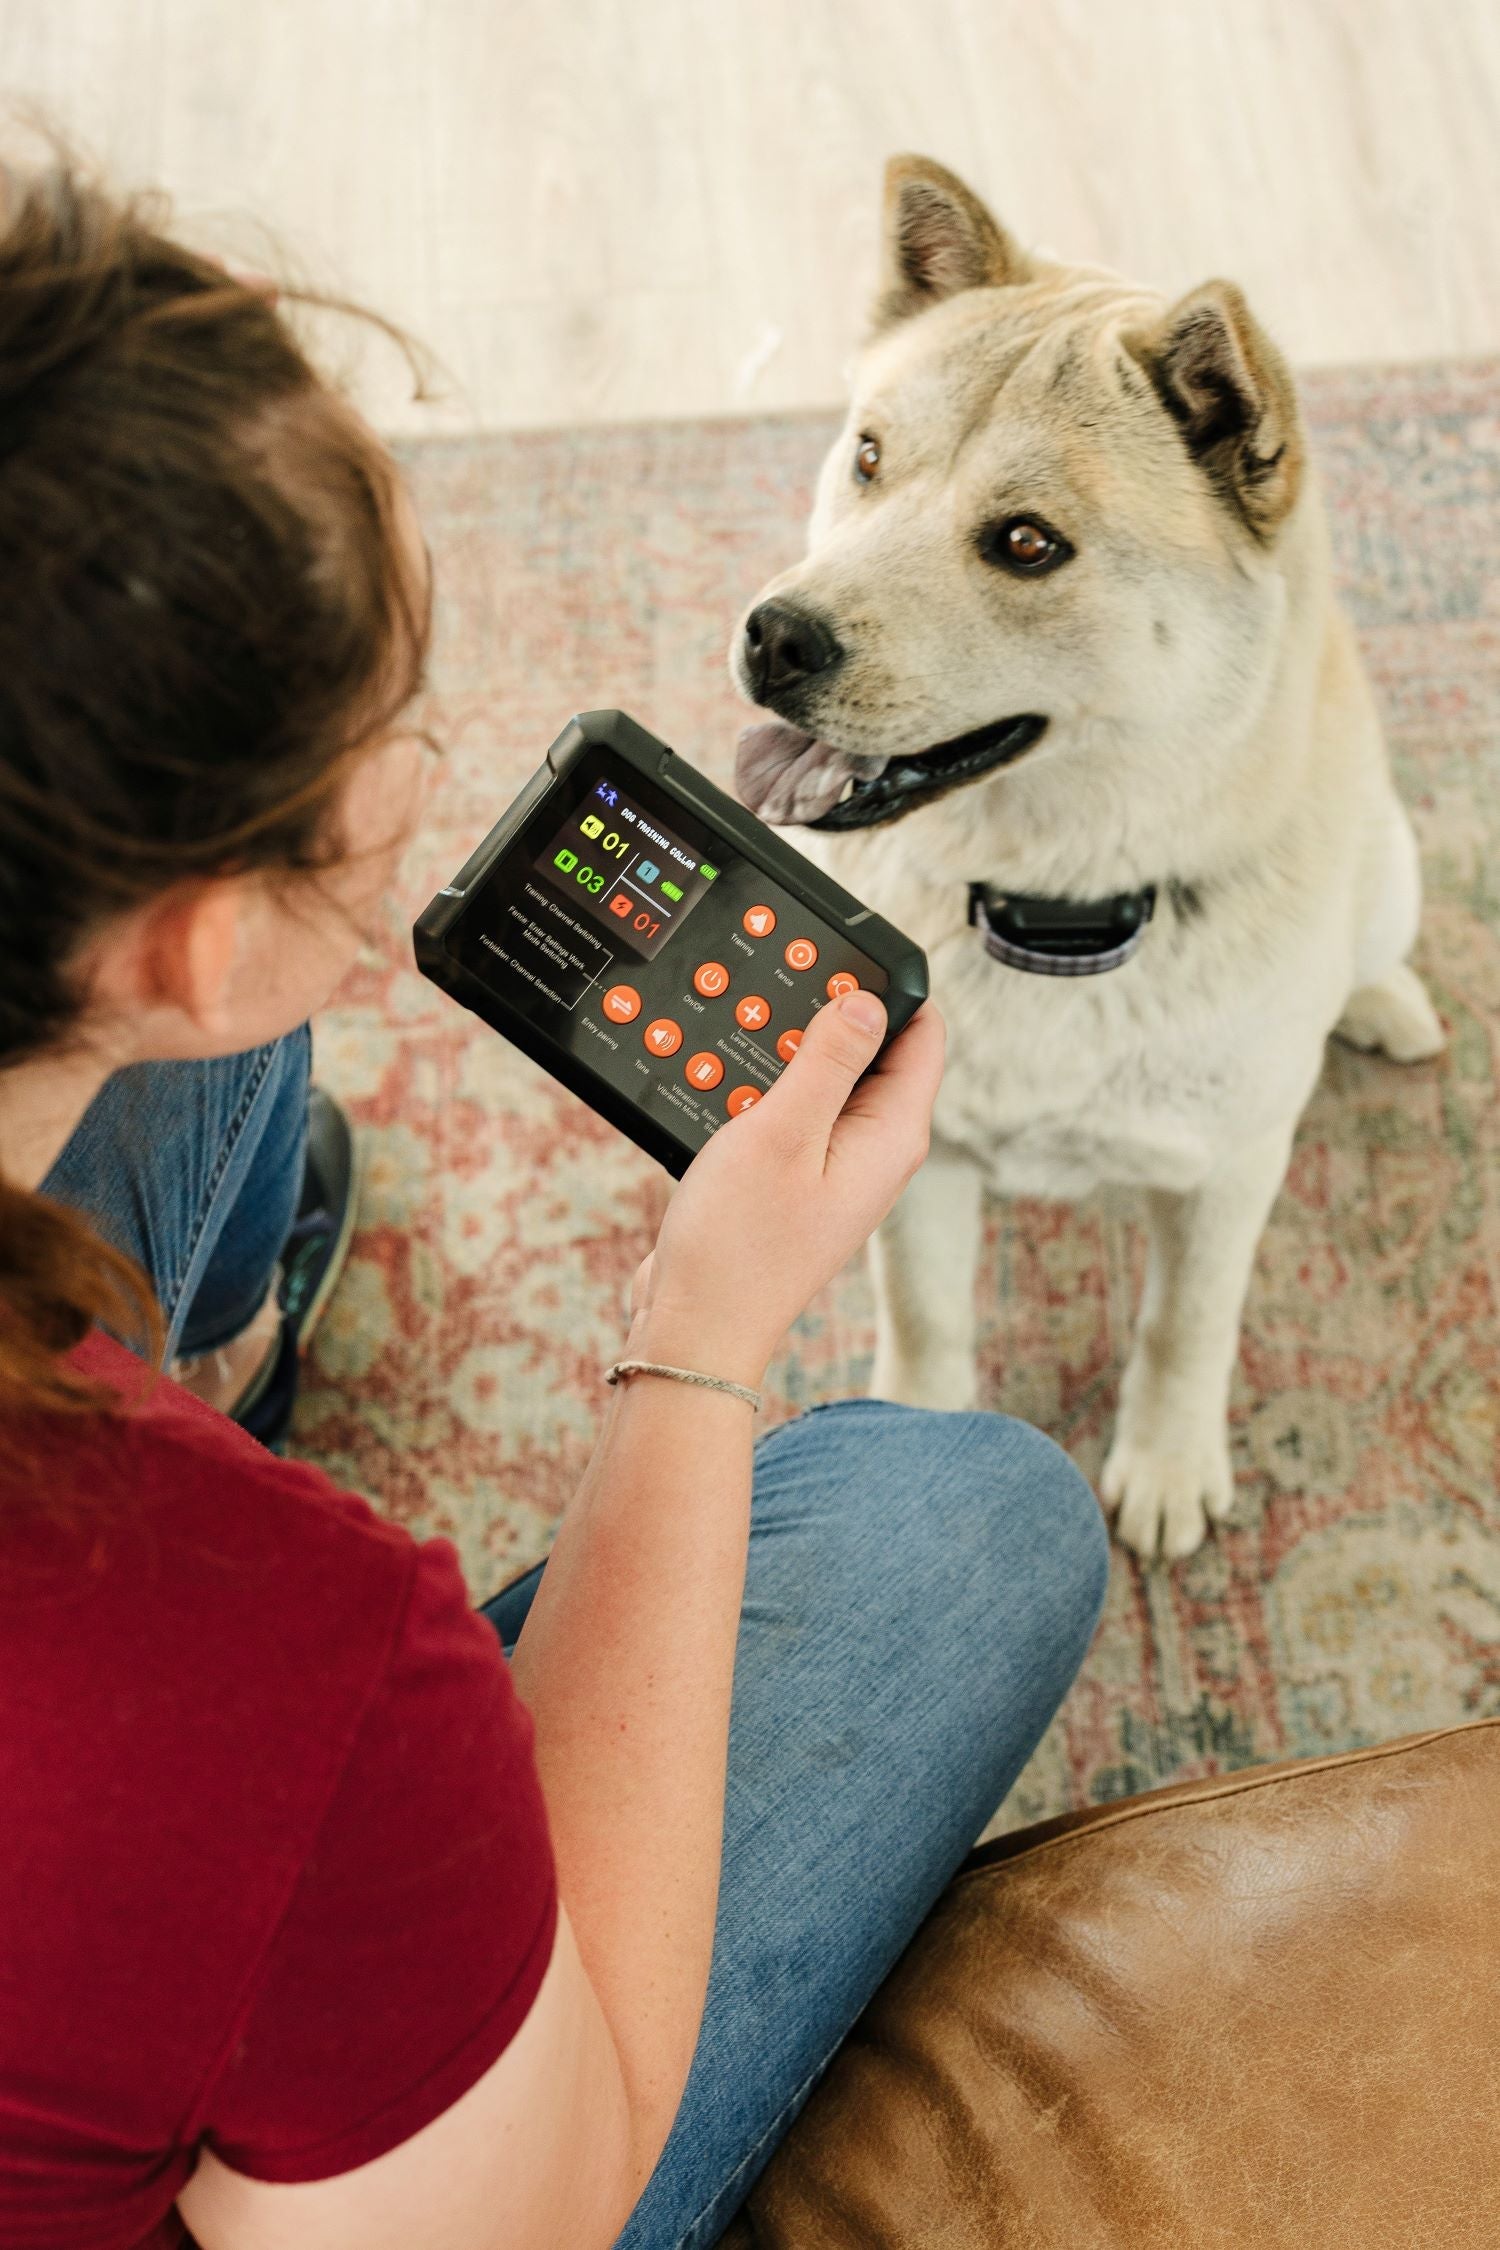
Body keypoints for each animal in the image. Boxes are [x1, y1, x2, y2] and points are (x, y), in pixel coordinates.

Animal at [737, 163, 1439, 1566]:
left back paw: (1381, 1002)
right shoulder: (922, 1162)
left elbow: (1184, 1326)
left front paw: (1166, 1463)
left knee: (1374, 949)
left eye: (1025, 544)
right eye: (870, 457)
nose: (775, 637)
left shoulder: (1230, 1175)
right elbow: (928, 1315)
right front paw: (917, 1433)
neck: (1052, 911)